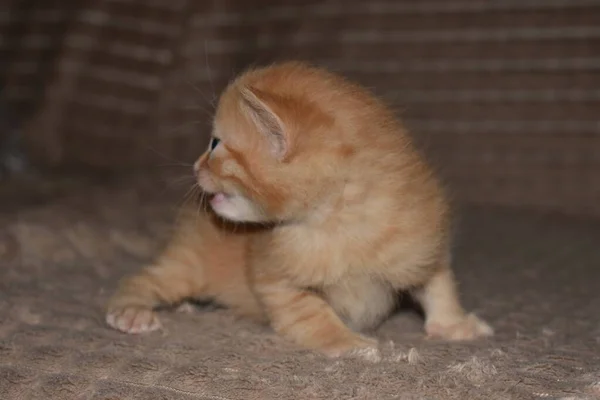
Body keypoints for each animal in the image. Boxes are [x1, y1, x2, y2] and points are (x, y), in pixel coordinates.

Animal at [106, 61, 492, 354]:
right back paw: (132, 310)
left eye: (215, 145)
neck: (336, 221)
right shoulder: (277, 281)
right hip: (190, 263)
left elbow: (439, 283)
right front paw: (347, 342)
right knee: (144, 278)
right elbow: (312, 312)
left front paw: (455, 324)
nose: (195, 167)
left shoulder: (423, 243)